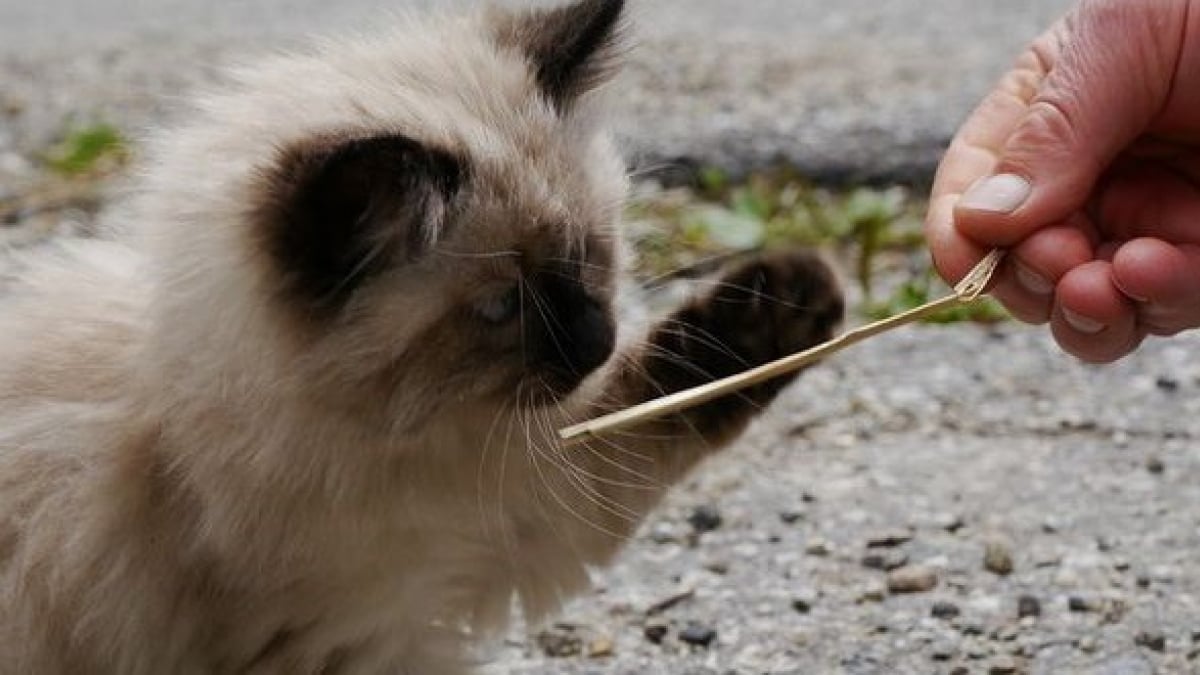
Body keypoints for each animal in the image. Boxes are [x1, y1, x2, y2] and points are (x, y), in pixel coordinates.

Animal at [0, 1, 844, 672]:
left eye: (591, 258)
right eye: (502, 306)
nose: (597, 341)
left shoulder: (501, 510)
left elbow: (659, 400)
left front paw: (790, 303)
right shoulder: (359, 626)